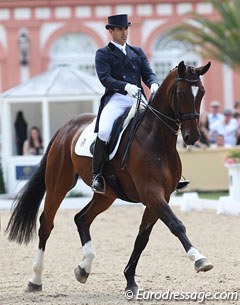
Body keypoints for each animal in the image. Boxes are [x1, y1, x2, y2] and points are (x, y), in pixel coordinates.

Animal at [5, 60, 212, 294]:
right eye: (182, 93)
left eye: (201, 92)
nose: (192, 136)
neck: (157, 138)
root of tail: (65, 128)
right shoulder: (151, 192)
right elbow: (176, 224)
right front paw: (199, 259)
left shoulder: (162, 195)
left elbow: (142, 238)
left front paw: (130, 280)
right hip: (59, 184)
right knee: (46, 224)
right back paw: (36, 279)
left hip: (106, 195)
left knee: (81, 218)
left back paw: (84, 268)